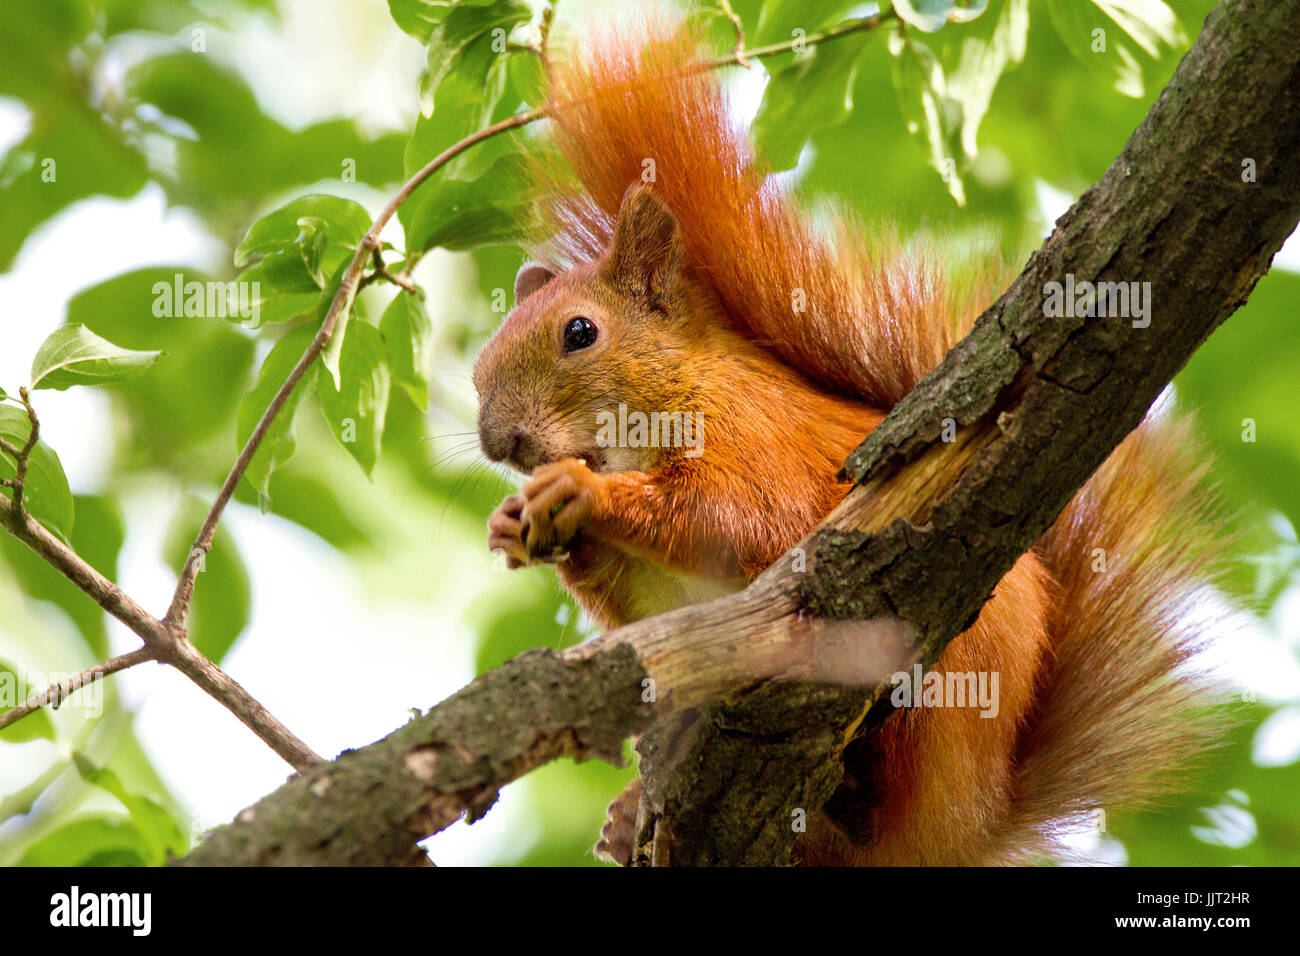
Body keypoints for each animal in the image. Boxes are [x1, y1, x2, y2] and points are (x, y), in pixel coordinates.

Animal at [473, 14, 1222, 868]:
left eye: (579, 333)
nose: (499, 440)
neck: (671, 399)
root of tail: (961, 829)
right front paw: (517, 524)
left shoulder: (755, 447)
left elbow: (726, 520)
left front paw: (582, 493)